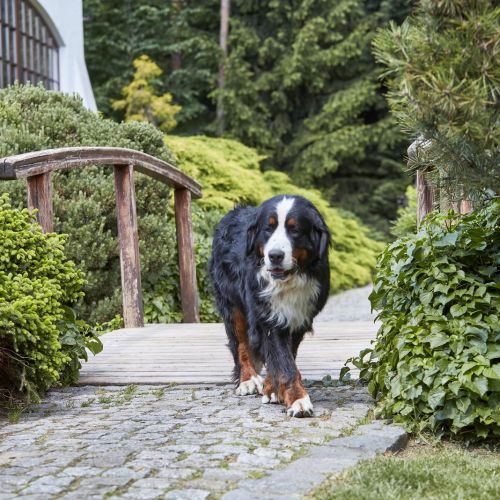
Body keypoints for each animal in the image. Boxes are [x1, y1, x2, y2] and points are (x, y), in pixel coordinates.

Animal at [209, 195, 330, 418]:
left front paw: (273, 389)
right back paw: (247, 380)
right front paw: (298, 400)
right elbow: (284, 362)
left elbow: (283, 357)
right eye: (268, 228)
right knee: (240, 343)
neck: (287, 282)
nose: (275, 255)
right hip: (232, 303)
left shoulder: (298, 317)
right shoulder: (269, 317)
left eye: (294, 230)